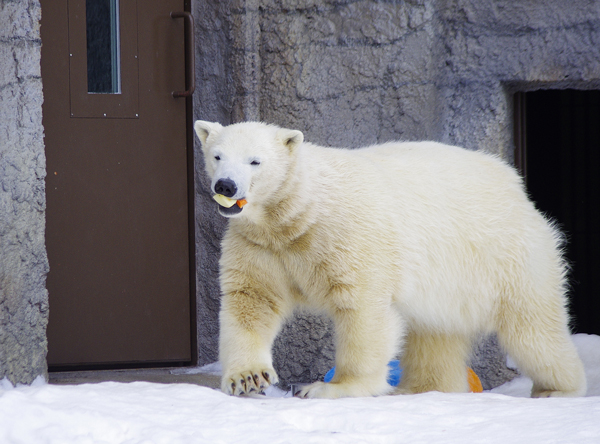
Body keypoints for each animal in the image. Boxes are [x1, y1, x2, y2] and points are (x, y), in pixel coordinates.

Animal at [196, 119, 584, 398]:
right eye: (217, 156)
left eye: (255, 161)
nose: (226, 185)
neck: (297, 216)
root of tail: (517, 189)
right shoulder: (260, 245)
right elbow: (252, 301)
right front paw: (247, 378)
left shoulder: (347, 236)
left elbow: (363, 308)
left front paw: (329, 388)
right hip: (449, 283)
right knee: (435, 334)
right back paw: (422, 389)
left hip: (508, 256)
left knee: (532, 330)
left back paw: (558, 389)